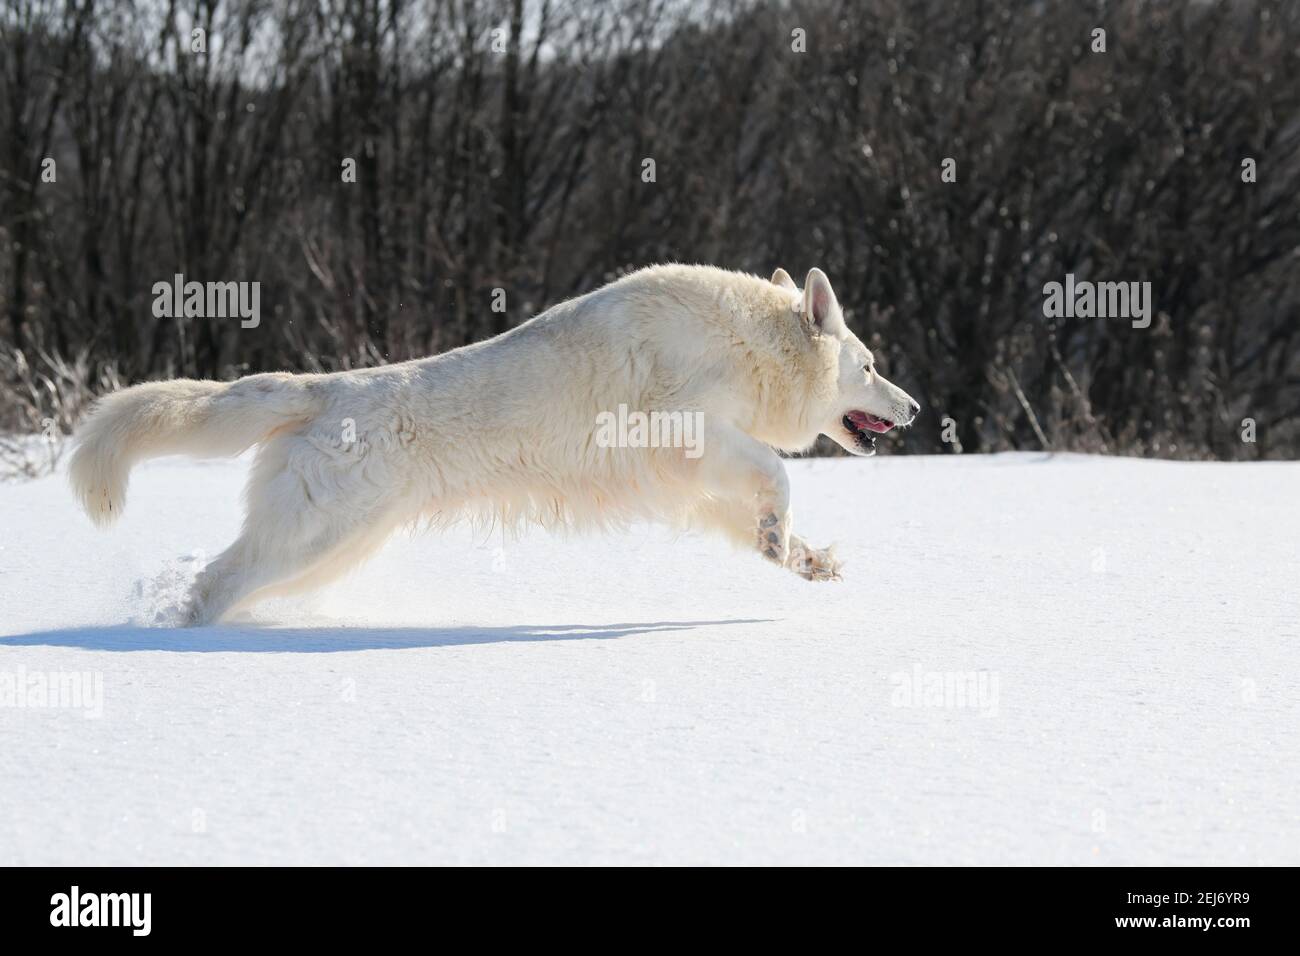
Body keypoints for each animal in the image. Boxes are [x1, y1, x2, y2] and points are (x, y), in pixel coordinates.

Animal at [71, 267, 920, 629]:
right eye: (870, 367)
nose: (913, 408)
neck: (748, 343)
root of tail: (326, 387)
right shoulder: (694, 435)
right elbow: (778, 473)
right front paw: (785, 537)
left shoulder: (694, 482)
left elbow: (762, 515)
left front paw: (799, 557)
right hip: (311, 541)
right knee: (216, 581)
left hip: (335, 549)